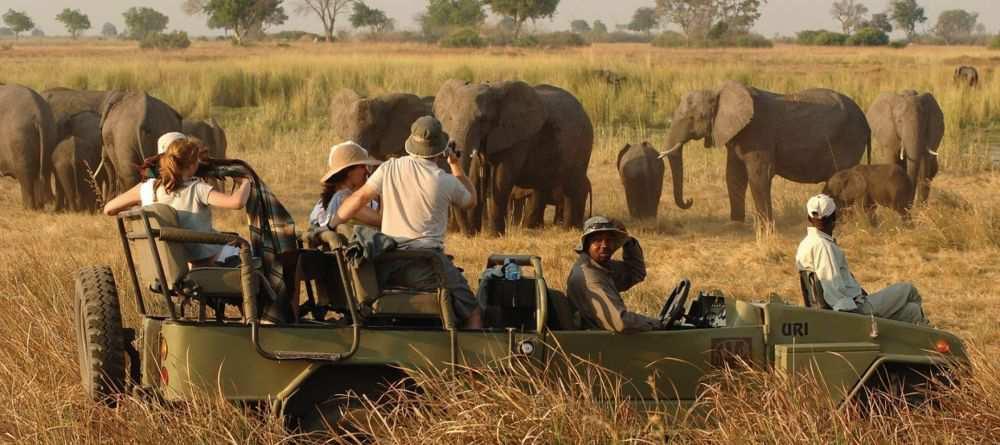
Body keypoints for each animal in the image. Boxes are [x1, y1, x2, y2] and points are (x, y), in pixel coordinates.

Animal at [436, 79, 592, 236]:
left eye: (482, 119)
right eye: (450, 118)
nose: (468, 233)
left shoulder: (516, 140)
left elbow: (500, 180)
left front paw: (495, 236)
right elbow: (474, 177)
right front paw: (475, 235)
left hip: (581, 146)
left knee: (573, 186)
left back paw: (571, 229)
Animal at [664, 80, 868, 222]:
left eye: (695, 117)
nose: (689, 200)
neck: (717, 90)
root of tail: (865, 120)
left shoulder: (758, 133)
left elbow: (759, 175)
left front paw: (765, 227)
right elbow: (734, 176)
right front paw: (736, 223)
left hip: (849, 139)